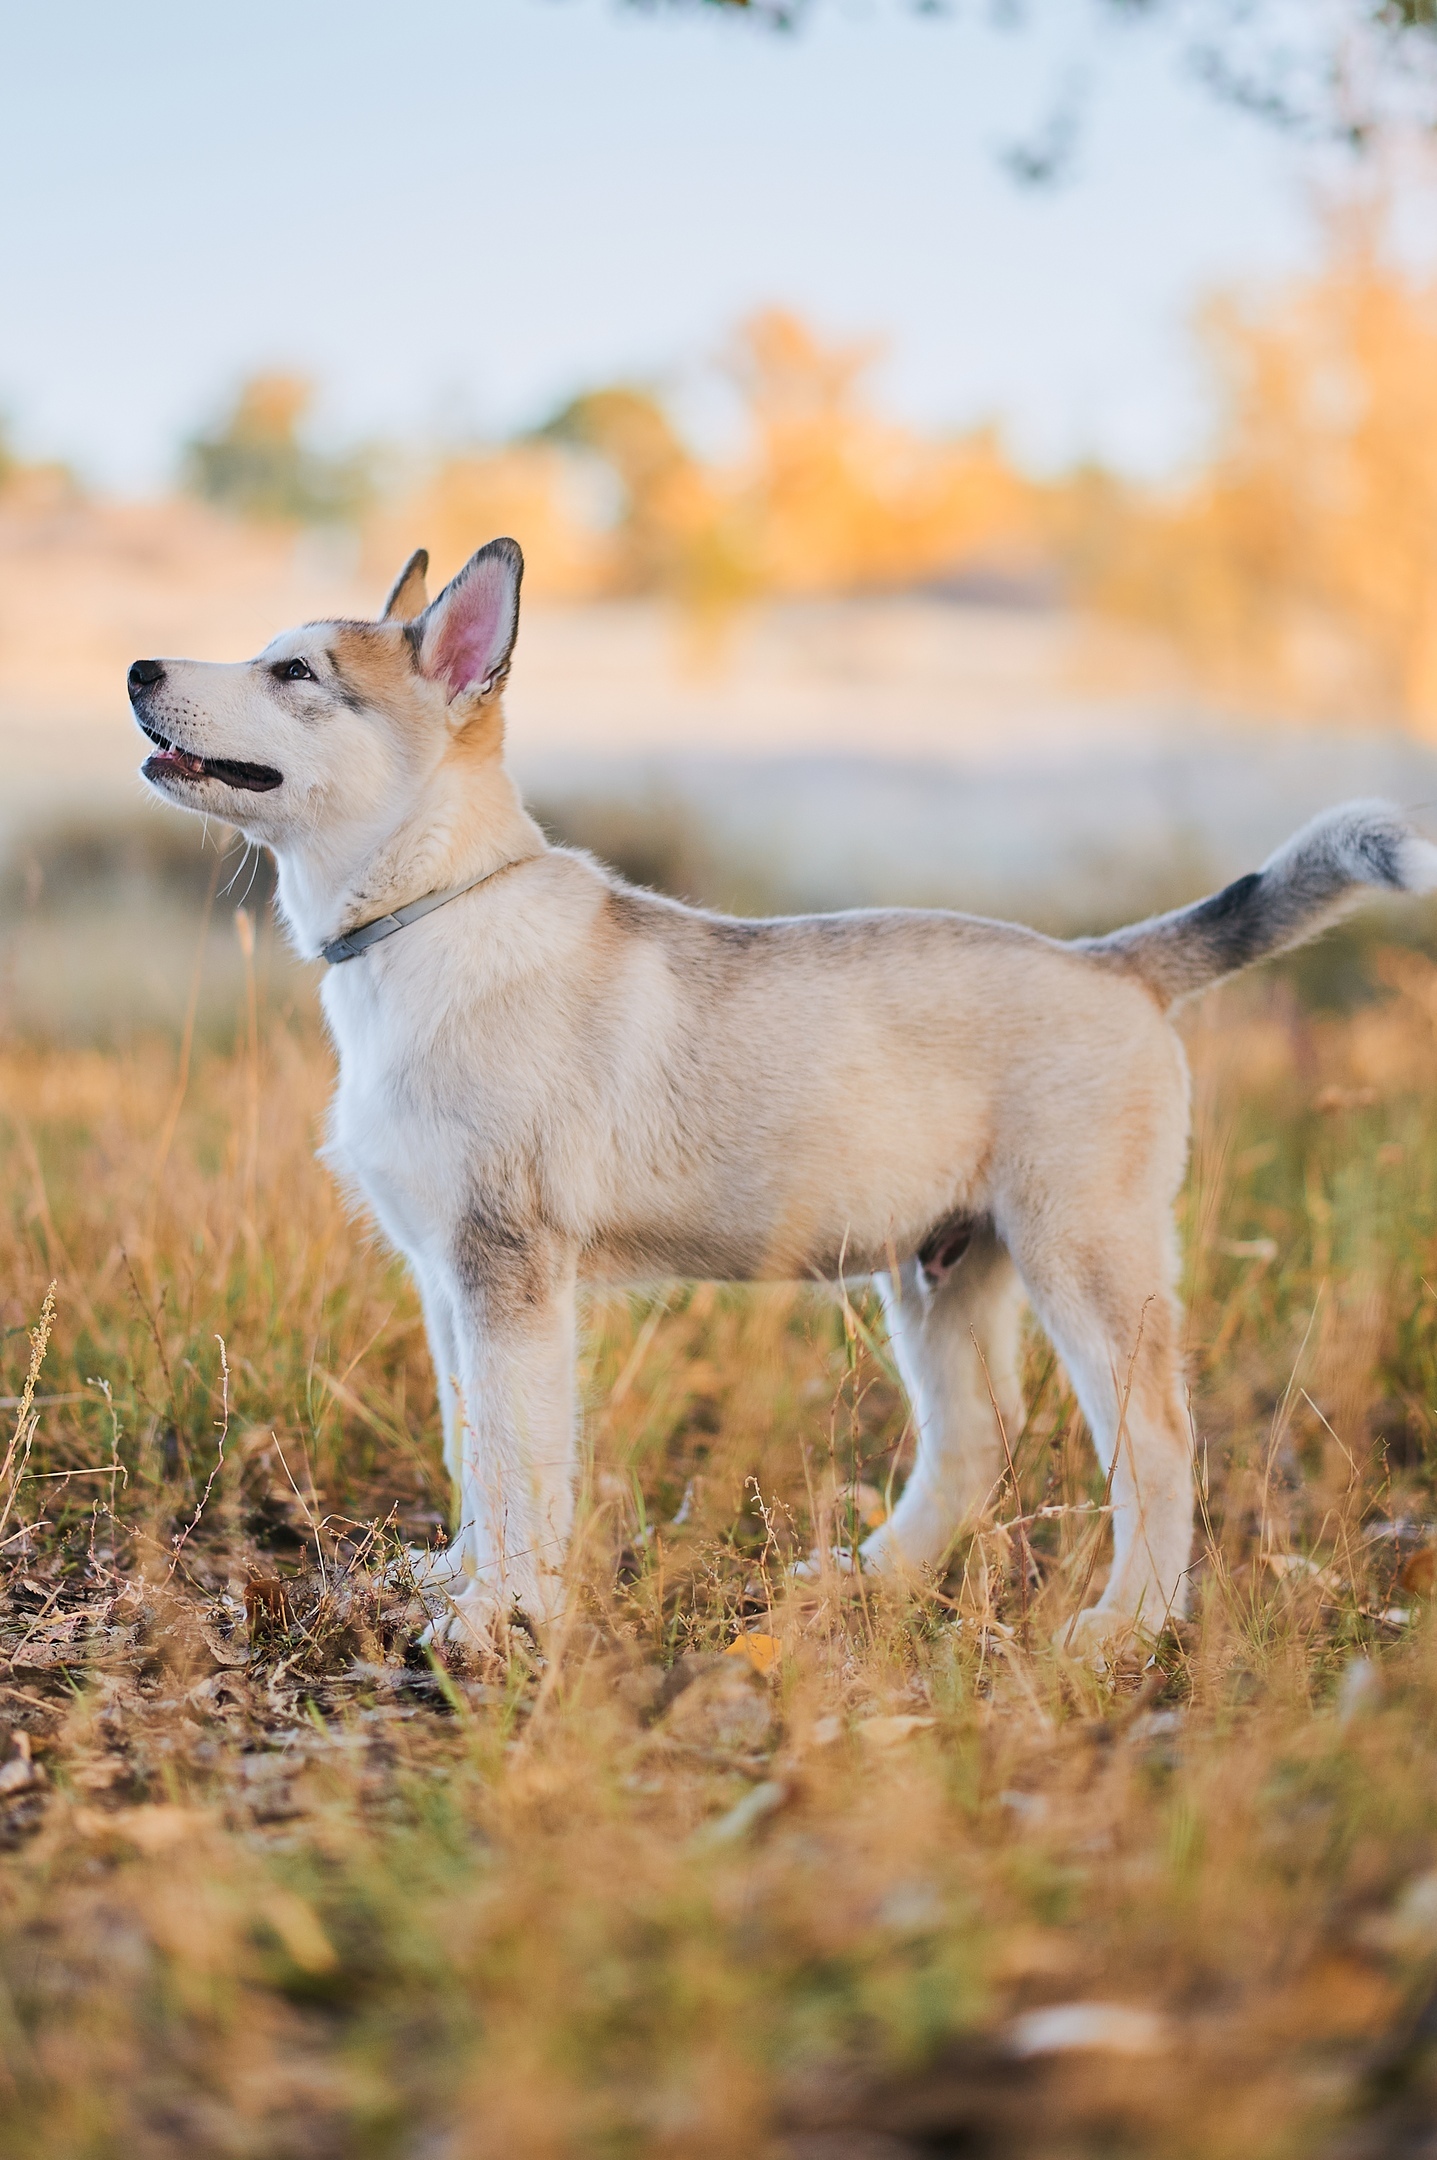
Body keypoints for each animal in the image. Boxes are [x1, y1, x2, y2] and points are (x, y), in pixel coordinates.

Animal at [129, 540, 1434, 1650]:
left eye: (296, 672)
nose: (138, 668)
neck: (434, 915)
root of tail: (1116, 962)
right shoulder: (451, 1278)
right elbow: (472, 1450)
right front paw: (460, 1581)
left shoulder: (510, 1270)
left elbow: (518, 1456)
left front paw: (499, 1616)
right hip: (944, 1268)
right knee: (978, 1437)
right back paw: (875, 1578)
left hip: (1087, 1257)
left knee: (1157, 1441)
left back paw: (1132, 1624)